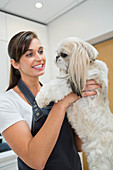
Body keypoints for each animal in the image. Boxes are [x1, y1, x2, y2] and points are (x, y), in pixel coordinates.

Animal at [35, 37, 113, 170]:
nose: (56, 57)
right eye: (57, 53)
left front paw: (40, 99)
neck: (88, 64)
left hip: (99, 160)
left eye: (63, 54)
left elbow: (54, 86)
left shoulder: (74, 81)